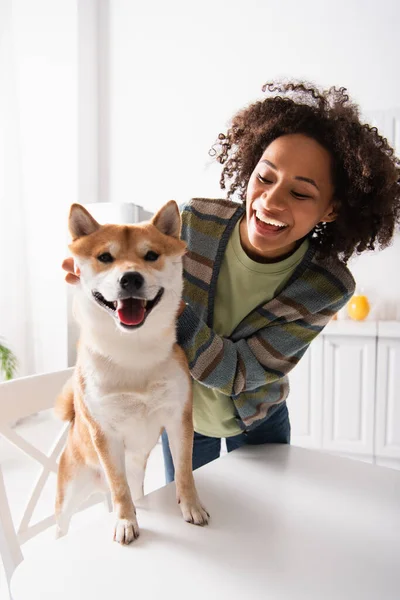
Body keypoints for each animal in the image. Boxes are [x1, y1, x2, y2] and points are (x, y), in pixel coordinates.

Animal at [54, 200, 209, 544]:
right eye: (105, 257)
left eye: (150, 255)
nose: (130, 279)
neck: (133, 352)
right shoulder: (105, 434)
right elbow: (119, 486)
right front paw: (126, 522)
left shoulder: (178, 418)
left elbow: (185, 471)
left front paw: (191, 506)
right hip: (69, 492)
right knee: (66, 521)